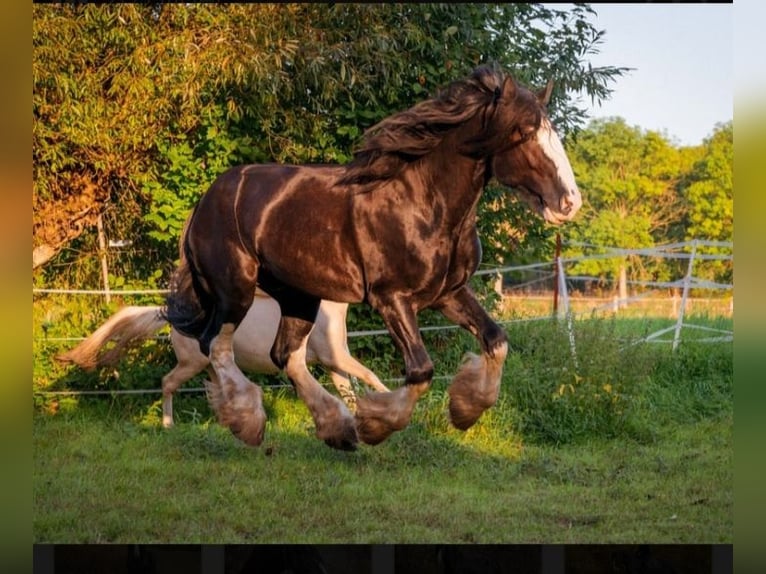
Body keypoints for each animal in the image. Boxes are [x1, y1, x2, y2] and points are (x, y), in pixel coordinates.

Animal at [56, 290, 390, 426]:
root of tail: (175, 315)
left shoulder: (333, 364)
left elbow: (349, 393)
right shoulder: (336, 358)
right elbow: (369, 376)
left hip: (211, 367)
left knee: (214, 393)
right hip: (191, 363)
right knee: (168, 383)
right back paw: (168, 425)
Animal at [164, 63, 584, 452]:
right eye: (523, 133)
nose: (569, 202)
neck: (424, 203)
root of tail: (207, 199)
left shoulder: (448, 294)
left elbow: (496, 340)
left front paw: (464, 410)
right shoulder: (391, 298)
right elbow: (421, 371)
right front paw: (376, 425)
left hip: (299, 294)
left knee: (286, 355)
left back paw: (337, 429)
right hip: (235, 289)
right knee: (215, 345)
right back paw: (248, 421)